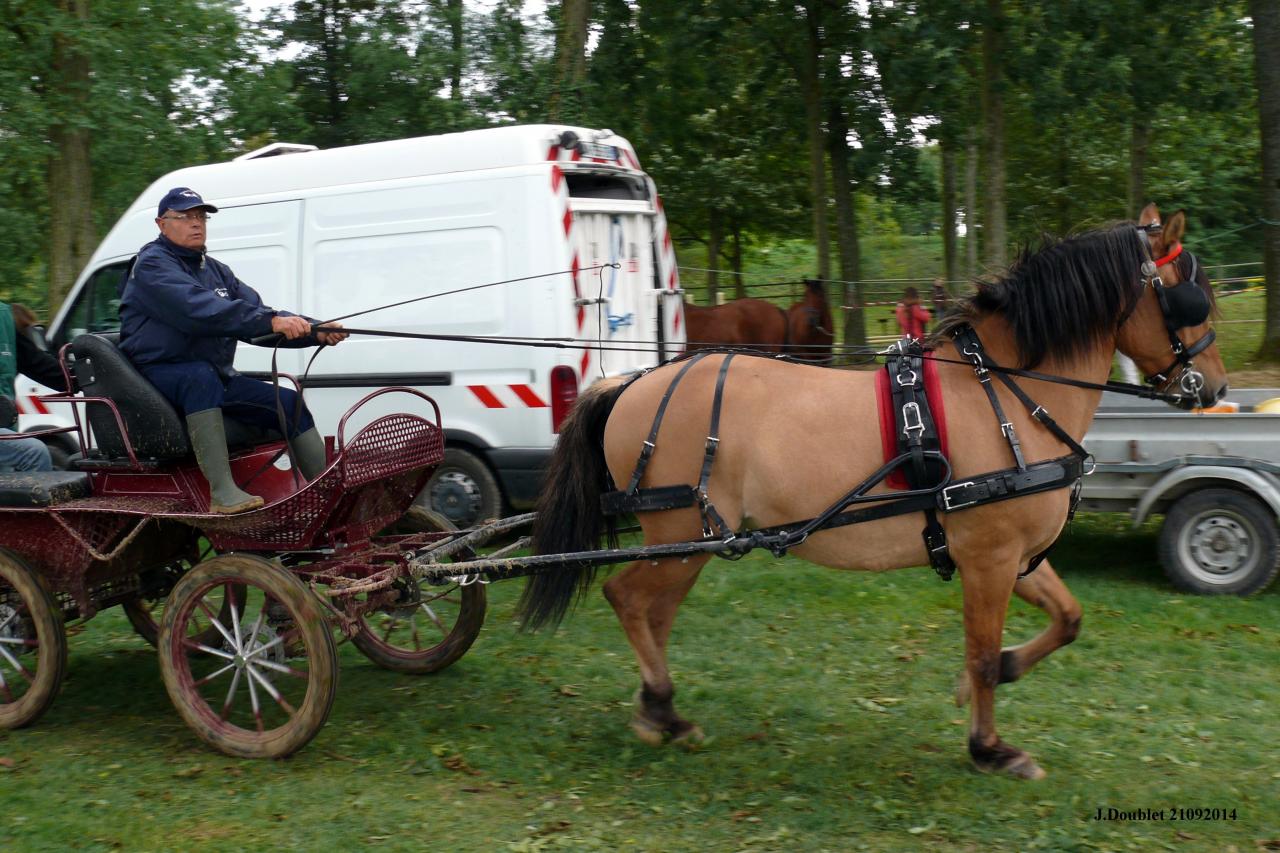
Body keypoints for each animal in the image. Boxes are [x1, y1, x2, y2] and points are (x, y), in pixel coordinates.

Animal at [521, 205, 1228, 780]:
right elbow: (978, 652)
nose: (1215, 387)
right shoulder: (990, 558)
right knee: (627, 598)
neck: (1004, 393)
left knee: (654, 612)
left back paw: (660, 710)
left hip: (694, 542)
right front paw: (990, 747)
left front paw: (998, 676)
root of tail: (632, 382)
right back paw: (660, 706)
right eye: (1192, 299)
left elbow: (1066, 619)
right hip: (680, 535)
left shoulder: (1017, 555)